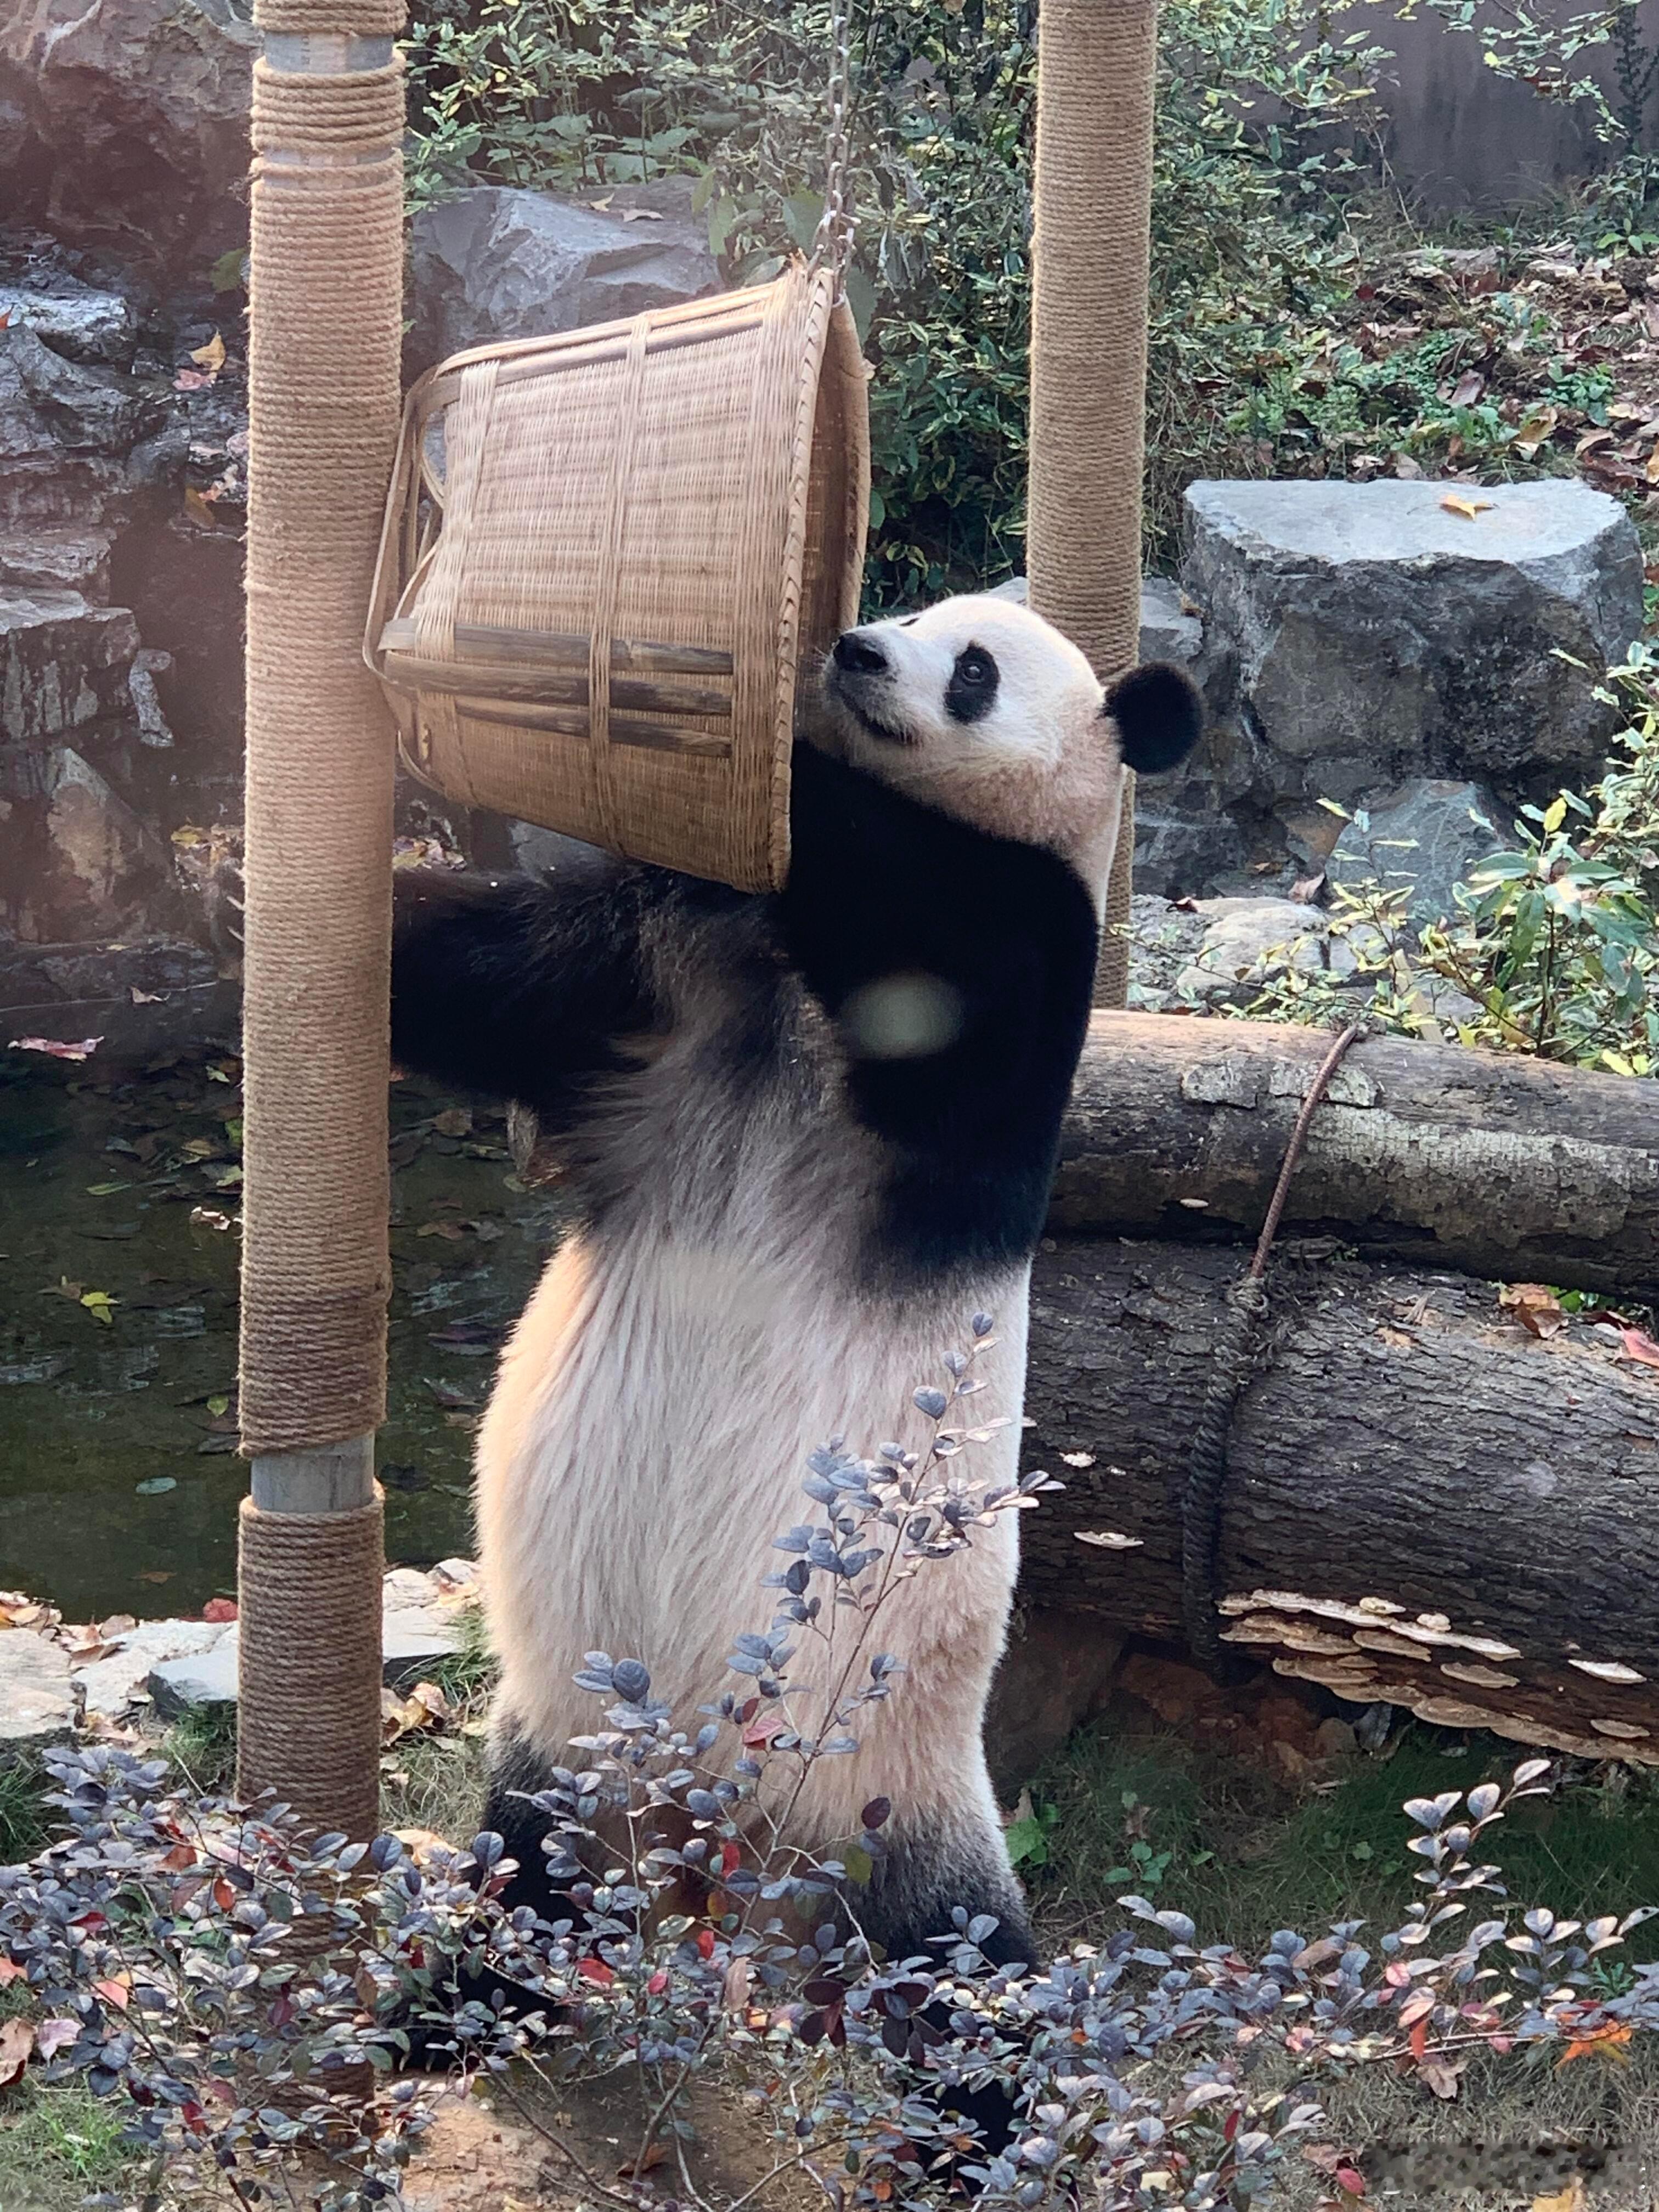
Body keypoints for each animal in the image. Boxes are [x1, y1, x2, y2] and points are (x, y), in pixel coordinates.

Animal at [389, 597, 1194, 1982]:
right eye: (914, 613)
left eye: (973, 671)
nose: (859, 651)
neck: (779, 964)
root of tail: (714, 1840)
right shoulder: (662, 981)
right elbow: (497, 992)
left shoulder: (1022, 984)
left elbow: (928, 946)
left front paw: (733, 724)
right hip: (564, 1754)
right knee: (530, 1883)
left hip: (882, 1784)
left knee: (958, 1964)